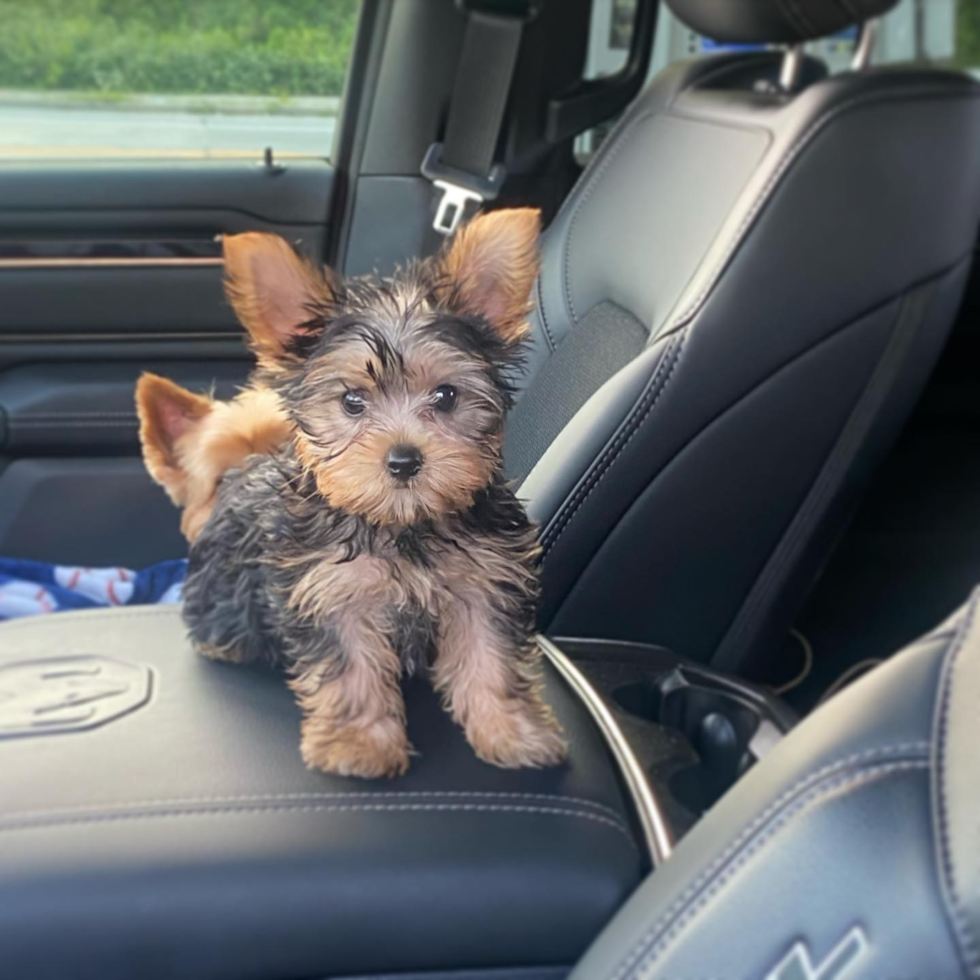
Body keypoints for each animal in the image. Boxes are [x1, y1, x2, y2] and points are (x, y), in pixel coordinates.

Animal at [172, 211, 568, 776]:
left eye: (446, 396)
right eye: (352, 401)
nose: (403, 460)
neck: (403, 525)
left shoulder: (486, 581)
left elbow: (490, 655)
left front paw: (513, 732)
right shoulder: (330, 589)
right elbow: (350, 666)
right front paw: (359, 743)